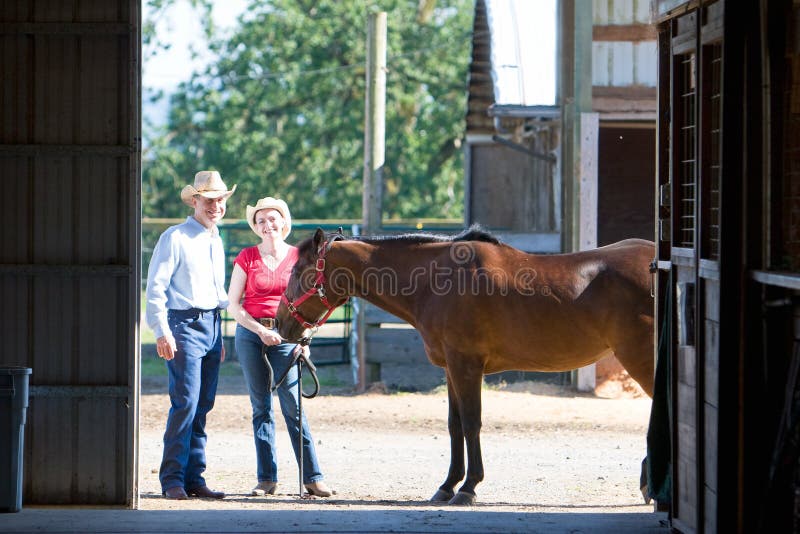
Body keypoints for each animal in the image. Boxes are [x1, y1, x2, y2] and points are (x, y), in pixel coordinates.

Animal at [278, 226, 652, 506]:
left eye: (298, 271)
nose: (281, 323)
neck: (436, 279)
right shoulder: (450, 368)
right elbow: (454, 425)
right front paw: (447, 486)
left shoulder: (466, 365)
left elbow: (471, 423)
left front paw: (469, 488)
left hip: (639, 356)